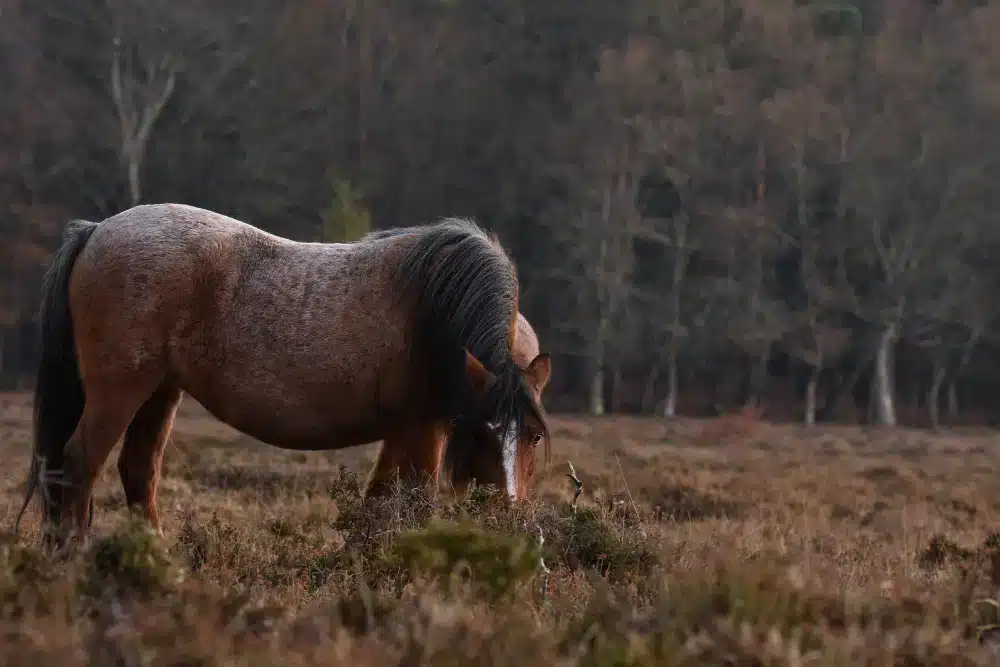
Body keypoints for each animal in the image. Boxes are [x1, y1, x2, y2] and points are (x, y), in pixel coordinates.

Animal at [15, 205, 552, 548]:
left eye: (534, 437)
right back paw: (74, 557)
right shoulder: (423, 430)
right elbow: (409, 502)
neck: (434, 308)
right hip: (119, 392)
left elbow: (380, 501)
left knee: (139, 470)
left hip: (159, 392)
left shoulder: (406, 431)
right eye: (482, 433)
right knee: (78, 464)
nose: (506, 517)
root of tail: (97, 229)